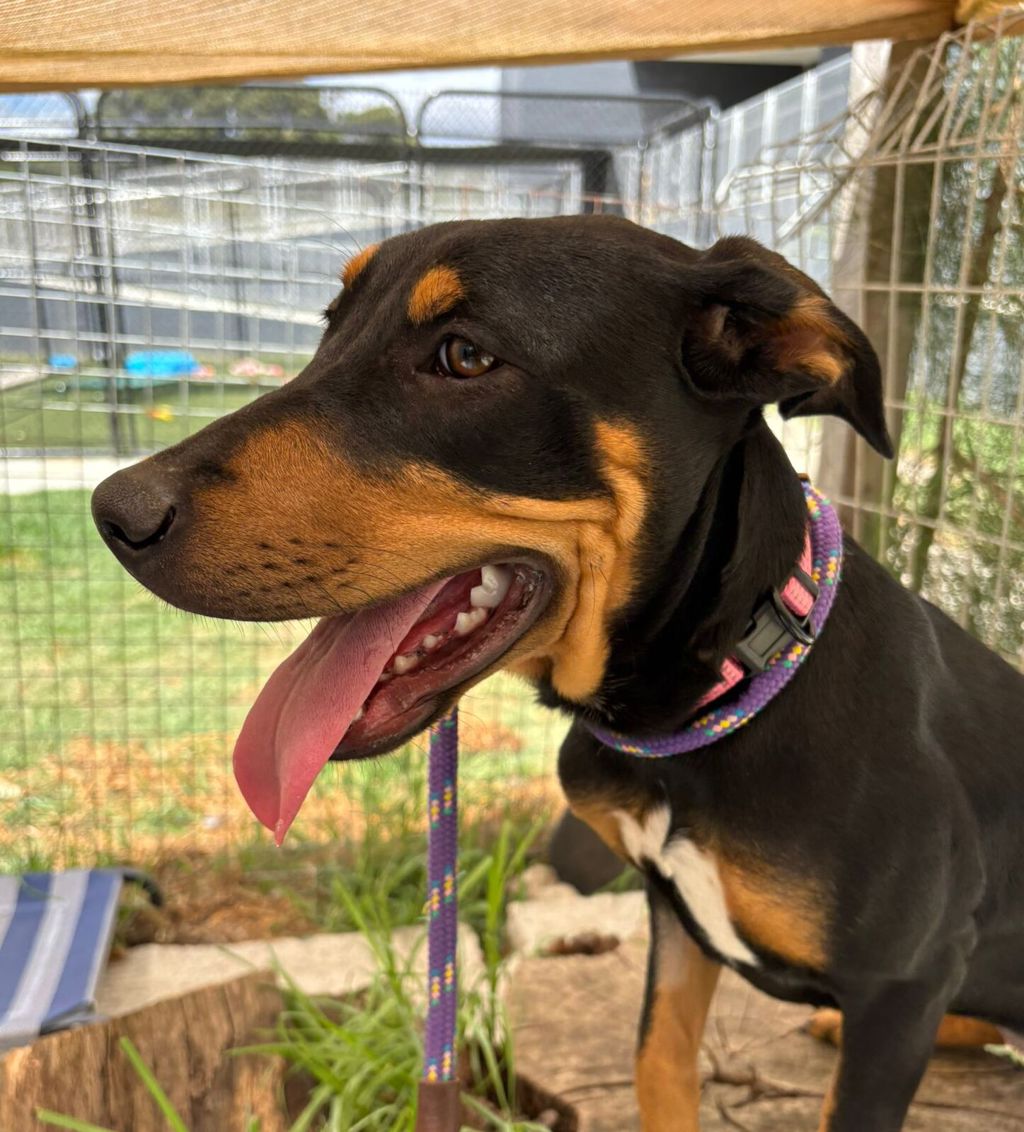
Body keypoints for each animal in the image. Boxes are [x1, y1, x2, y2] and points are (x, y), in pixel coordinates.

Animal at [91, 216, 1024, 1131]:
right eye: (331, 328)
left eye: (465, 356)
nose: (113, 513)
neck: (715, 703)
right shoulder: (675, 923)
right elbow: (658, 1065)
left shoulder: (901, 986)